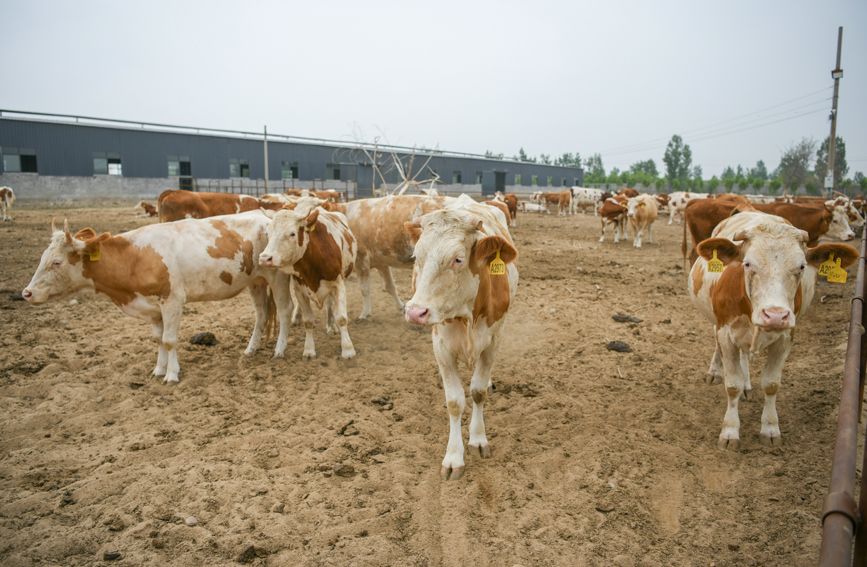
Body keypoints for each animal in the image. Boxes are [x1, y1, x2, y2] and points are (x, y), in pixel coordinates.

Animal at [22, 211, 294, 384]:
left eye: (57, 262)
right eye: (43, 257)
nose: (27, 293)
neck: (134, 257)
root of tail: (266, 217)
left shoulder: (172, 301)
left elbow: (170, 340)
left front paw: (172, 374)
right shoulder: (152, 307)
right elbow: (158, 339)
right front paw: (158, 369)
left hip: (277, 278)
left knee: (284, 311)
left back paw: (279, 350)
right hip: (256, 282)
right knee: (261, 314)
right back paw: (250, 349)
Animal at [258, 202, 356, 358]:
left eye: (292, 233)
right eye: (268, 232)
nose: (264, 259)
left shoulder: (338, 285)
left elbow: (341, 318)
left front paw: (348, 349)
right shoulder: (300, 290)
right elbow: (308, 321)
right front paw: (309, 350)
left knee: (331, 305)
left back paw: (332, 326)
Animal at [404, 200, 520, 480]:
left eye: (458, 259)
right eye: (417, 257)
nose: (415, 312)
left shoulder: (495, 339)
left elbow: (477, 392)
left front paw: (478, 439)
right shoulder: (441, 346)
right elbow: (455, 401)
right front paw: (454, 457)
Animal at [688, 212, 856, 452]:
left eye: (802, 267)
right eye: (747, 264)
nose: (775, 315)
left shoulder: (786, 338)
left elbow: (771, 384)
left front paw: (769, 428)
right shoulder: (725, 333)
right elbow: (732, 385)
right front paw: (730, 431)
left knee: (745, 355)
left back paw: (748, 384)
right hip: (717, 324)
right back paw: (715, 371)